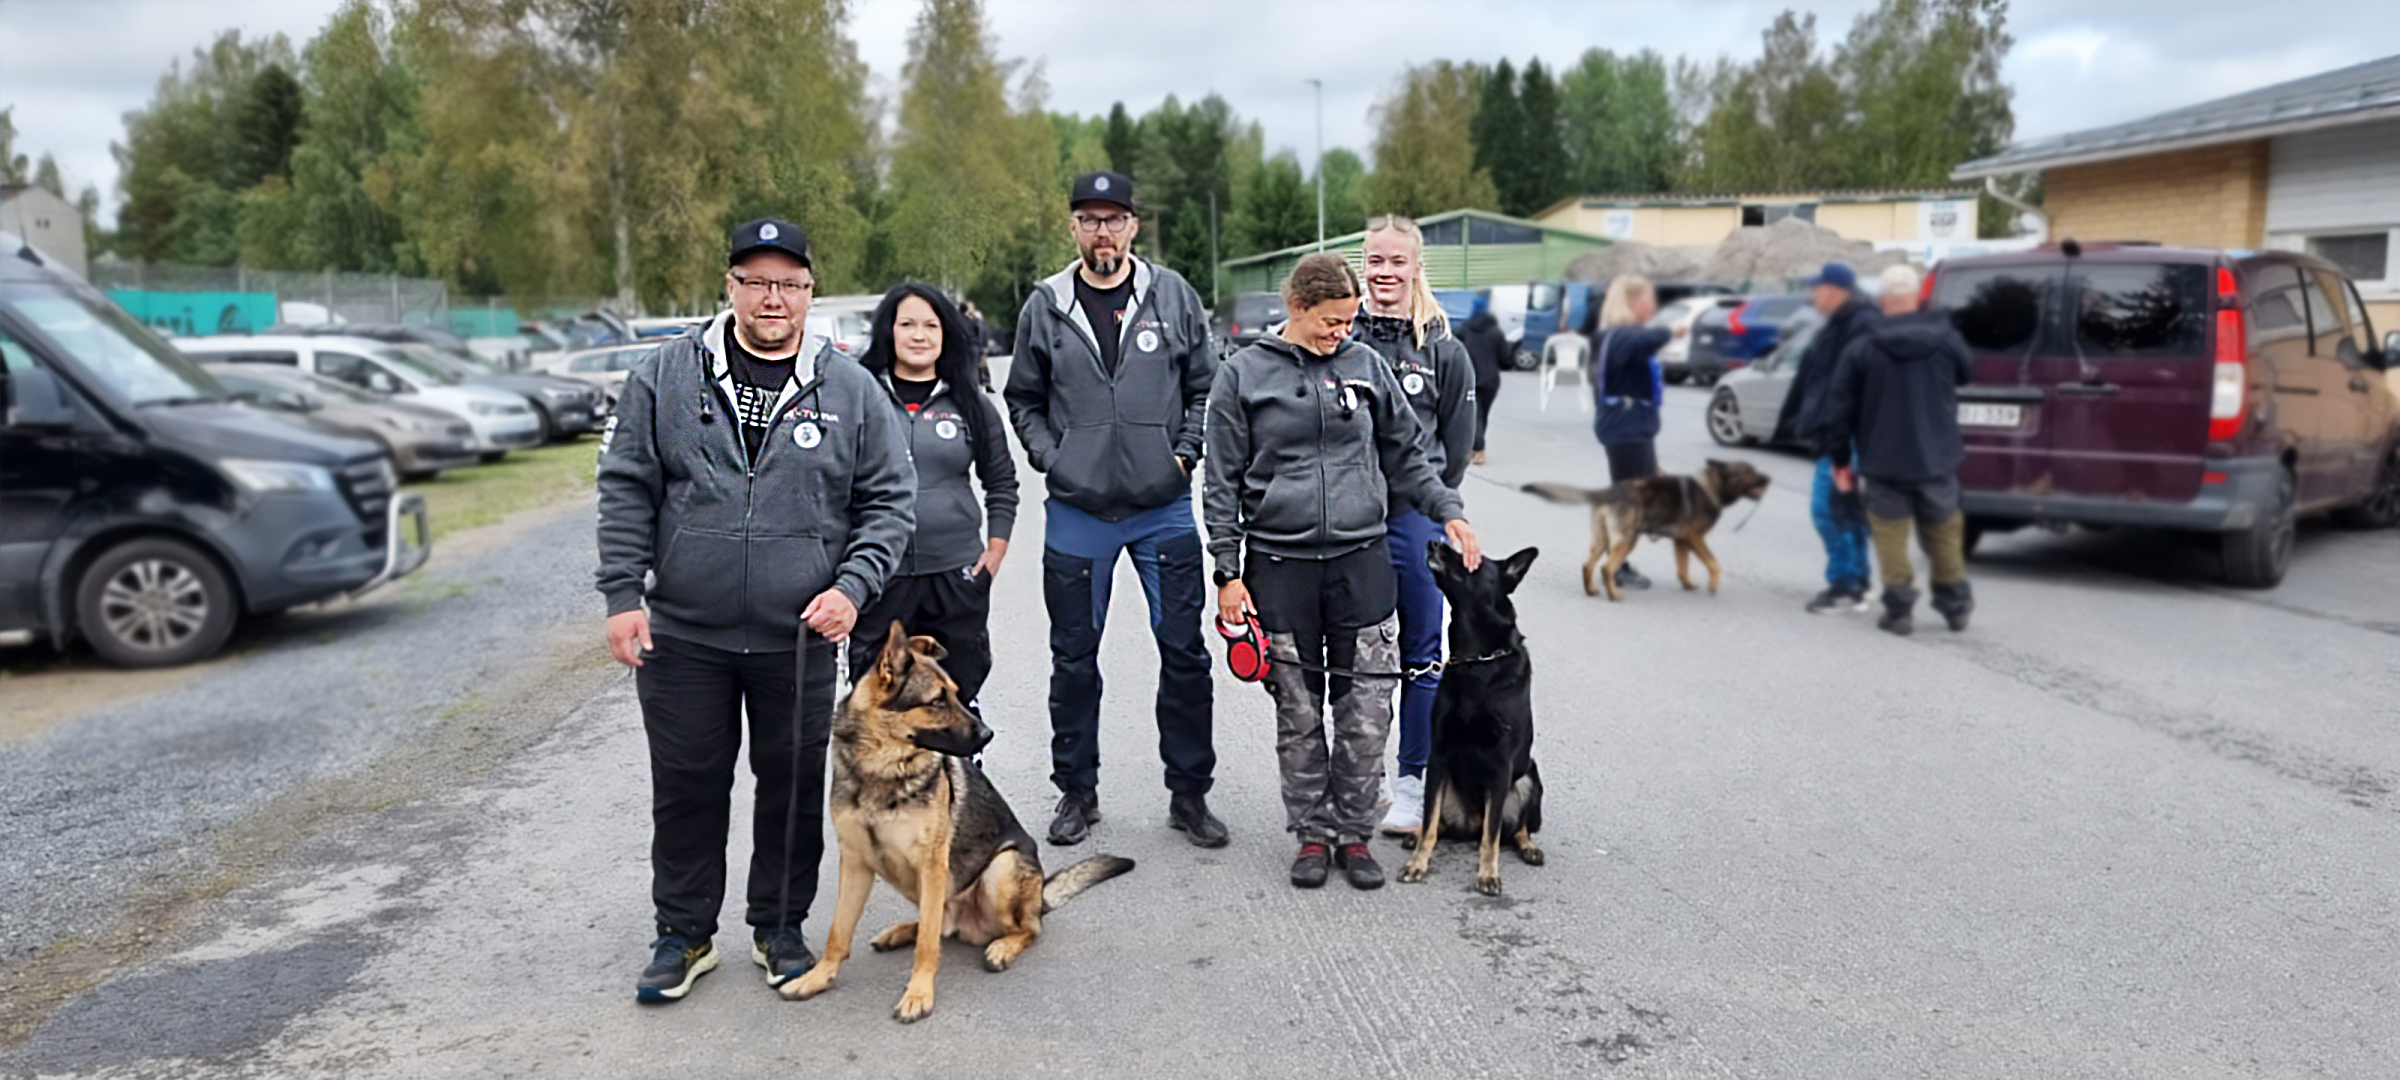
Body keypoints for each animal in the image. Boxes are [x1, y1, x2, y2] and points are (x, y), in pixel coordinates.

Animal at [777, 624, 1132, 1022]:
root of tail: (1039, 896)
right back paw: (901, 932)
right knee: (939, 924)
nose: (988, 734)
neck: (881, 770)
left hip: (1000, 870)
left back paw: (1002, 947)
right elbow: (838, 932)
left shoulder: (931, 864)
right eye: (937, 701)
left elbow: (927, 946)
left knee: (1027, 928)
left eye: (957, 695)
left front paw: (918, 994)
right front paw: (817, 978)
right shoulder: (855, 862)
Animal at [1401, 544, 1545, 897]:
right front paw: (1417, 863)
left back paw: (1529, 847)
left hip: (1529, 777)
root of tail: (1471, 821)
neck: (1477, 660)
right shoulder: (1438, 756)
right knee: (1438, 822)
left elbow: (1491, 837)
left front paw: (1488, 874)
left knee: (1514, 829)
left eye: (1474, 562)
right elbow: (1429, 823)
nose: (1434, 543)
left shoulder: (1501, 764)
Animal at [1526, 460, 1776, 602]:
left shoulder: (1681, 541)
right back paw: (1614, 595)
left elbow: (1682, 567)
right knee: (1607, 568)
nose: (1769, 478)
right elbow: (1714, 563)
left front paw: (1688, 584)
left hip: (1602, 540)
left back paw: (1591, 591)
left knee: (1588, 565)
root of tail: (1609, 491)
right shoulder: (1695, 538)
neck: (1711, 487)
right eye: (1749, 471)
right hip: (1628, 540)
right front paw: (1713, 586)